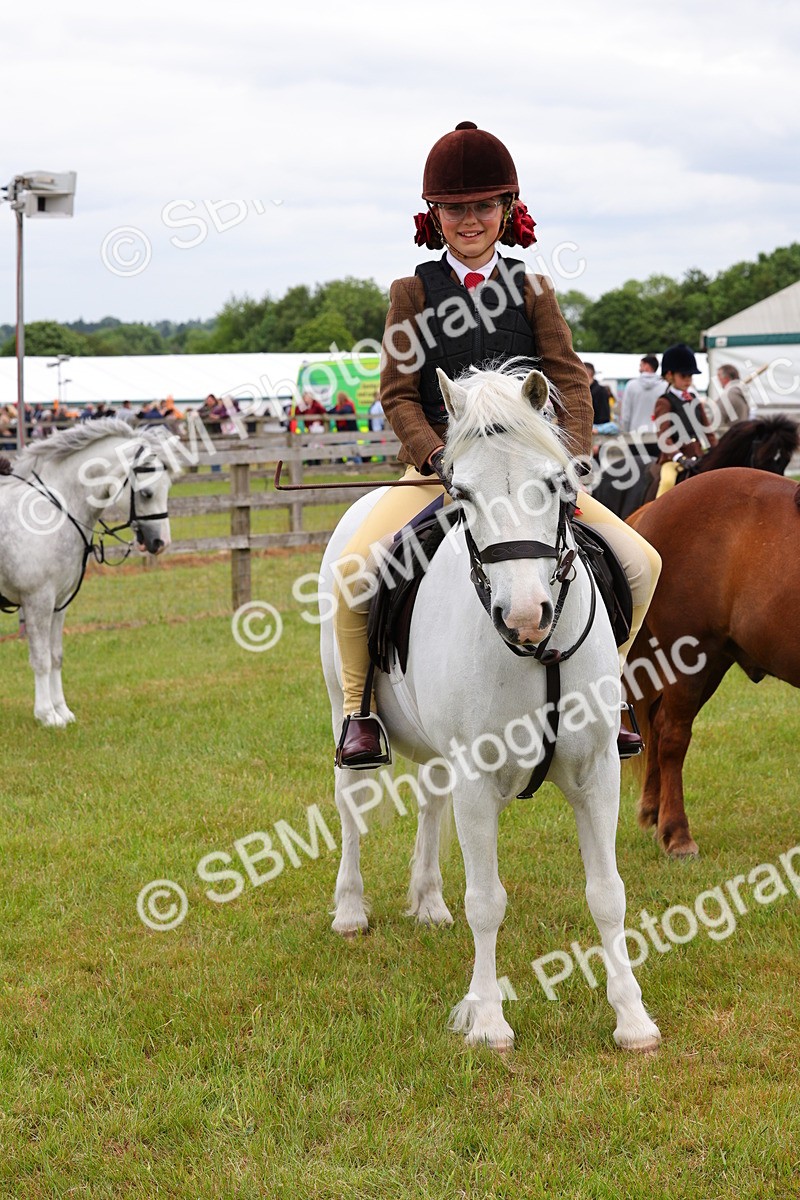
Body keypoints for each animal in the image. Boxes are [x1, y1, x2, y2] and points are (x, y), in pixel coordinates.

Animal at [0, 419, 176, 726]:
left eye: (168, 487)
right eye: (146, 493)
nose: (160, 543)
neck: (49, 510)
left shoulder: (59, 603)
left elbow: (56, 656)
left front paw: (62, 710)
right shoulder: (37, 601)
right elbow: (41, 659)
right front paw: (47, 715)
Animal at [320, 365, 661, 1053]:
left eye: (555, 484)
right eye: (463, 494)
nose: (525, 614)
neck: (539, 651)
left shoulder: (598, 774)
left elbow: (608, 893)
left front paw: (632, 1018)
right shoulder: (478, 783)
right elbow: (486, 900)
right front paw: (486, 1020)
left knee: (429, 799)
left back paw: (428, 902)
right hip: (344, 706)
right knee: (350, 804)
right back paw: (350, 909)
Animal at [625, 467, 800, 856]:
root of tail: (657, 506)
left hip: (713, 662)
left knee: (658, 724)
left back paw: (656, 812)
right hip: (690, 658)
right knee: (672, 735)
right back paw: (677, 834)